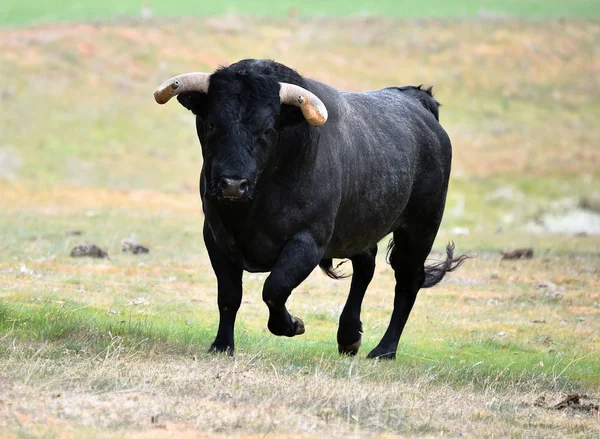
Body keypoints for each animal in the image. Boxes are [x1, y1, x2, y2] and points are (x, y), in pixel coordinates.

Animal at [156, 59, 468, 360]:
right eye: (211, 123)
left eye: (267, 129)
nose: (233, 184)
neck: (254, 204)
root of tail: (419, 102)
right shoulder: (216, 237)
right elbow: (229, 296)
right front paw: (222, 346)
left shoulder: (308, 241)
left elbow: (275, 288)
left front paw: (292, 325)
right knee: (366, 265)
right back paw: (349, 337)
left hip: (420, 228)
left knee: (406, 282)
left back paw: (384, 351)